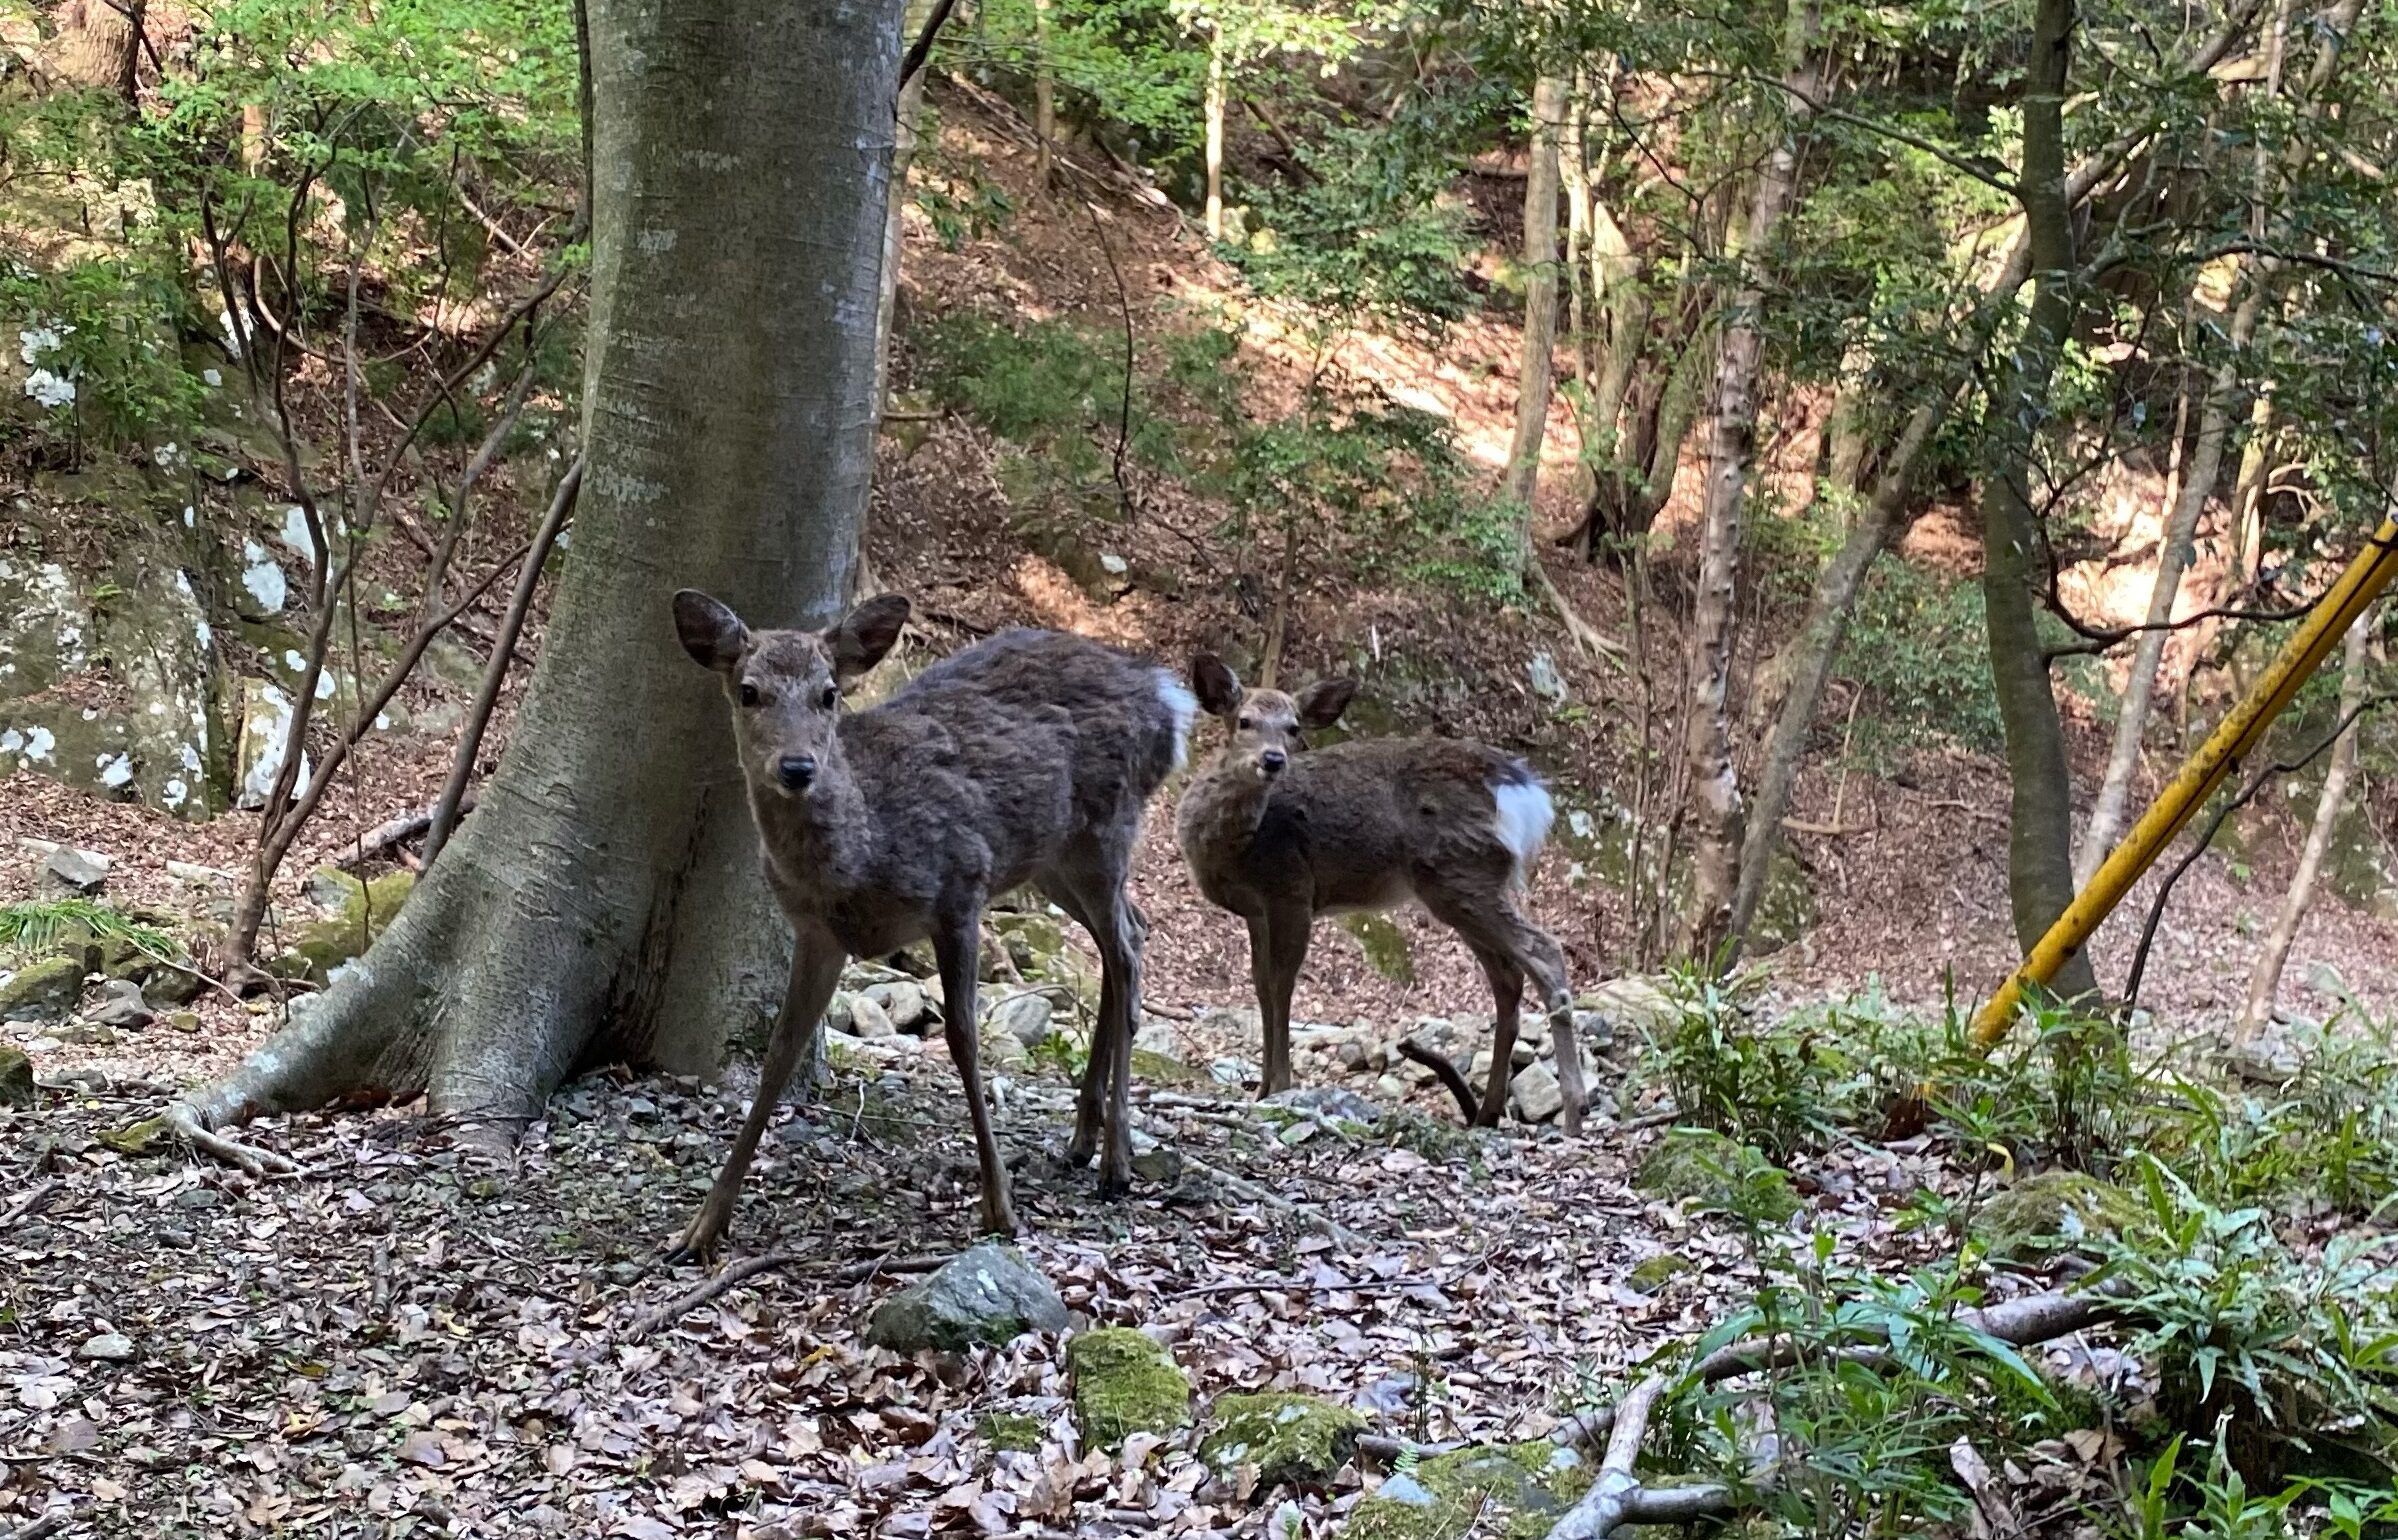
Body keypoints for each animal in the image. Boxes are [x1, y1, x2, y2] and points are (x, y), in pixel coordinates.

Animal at [668, 589, 1195, 1259]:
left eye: (829, 693)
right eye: (748, 690)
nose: (797, 767)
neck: (864, 852)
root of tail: (1169, 698)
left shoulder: (961, 888)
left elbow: (965, 1040)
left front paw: (1000, 1208)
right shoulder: (818, 934)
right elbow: (779, 1054)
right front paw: (701, 1226)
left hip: (1105, 827)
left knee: (1124, 948)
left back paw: (1116, 1160)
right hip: (1050, 859)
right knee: (1130, 931)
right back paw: (1083, 1138)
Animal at [1175, 654, 1589, 1135]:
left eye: (1294, 727)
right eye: (1244, 720)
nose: (1273, 760)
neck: (1236, 849)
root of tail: (1525, 791)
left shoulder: (1292, 889)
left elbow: (1281, 984)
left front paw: (1279, 1084)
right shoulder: (1256, 911)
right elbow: (1260, 984)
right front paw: (1260, 1087)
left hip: (1460, 871)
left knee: (1544, 951)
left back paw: (1574, 1111)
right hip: (1464, 885)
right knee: (1508, 979)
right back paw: (1487, 1111)